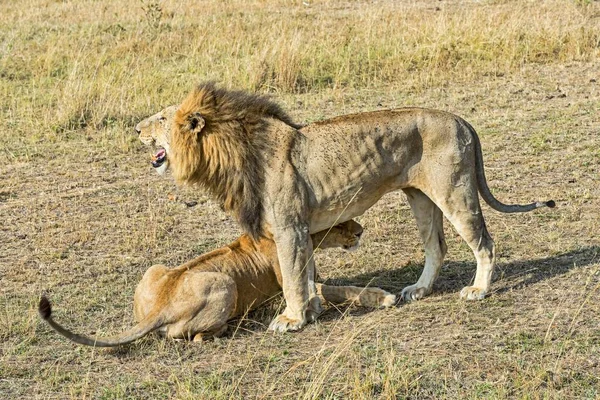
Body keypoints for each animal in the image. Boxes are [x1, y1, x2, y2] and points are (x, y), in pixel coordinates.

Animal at [39, 219, 396, 346]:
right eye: (341, 223)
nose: (361, 230)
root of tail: (160, 307)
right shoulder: (300, 288)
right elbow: (343, 290)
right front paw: (385, 297)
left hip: (155, 269)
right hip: (225, 282)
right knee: (196, 337)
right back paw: (233, 324)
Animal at [138, 83, 556, 332]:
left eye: (160, 118)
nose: (136, 129)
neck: (232, 155)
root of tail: (461, 119)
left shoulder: (289, 227)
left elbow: (294, 278)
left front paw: (292, 319)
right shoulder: (298, 232)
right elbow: (305, 275)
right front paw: (311, 310)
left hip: (454, 191)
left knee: (485, 243)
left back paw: (478, 291)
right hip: (420, 197)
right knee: (437, 247)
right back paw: (418, 291)